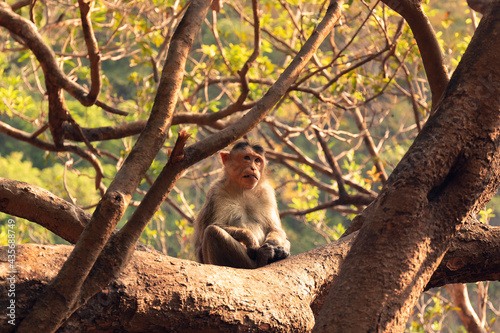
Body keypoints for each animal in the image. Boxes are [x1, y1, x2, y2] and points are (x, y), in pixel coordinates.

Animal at [193, 140, 292, 268]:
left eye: (257, 160)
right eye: (247, 158)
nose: (253, 168)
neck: (243, 190)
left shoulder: (267, 192)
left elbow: (275, 229)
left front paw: (274, 246)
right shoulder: (216, 191)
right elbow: (209, 227)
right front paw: (250, 238)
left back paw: (279, 253)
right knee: (212, 232)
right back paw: (262, 257)